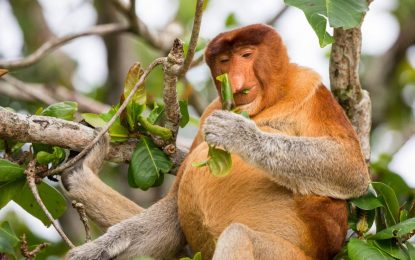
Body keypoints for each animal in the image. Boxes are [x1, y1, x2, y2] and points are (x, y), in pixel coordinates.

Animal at [64, 23, 370, 258]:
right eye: (224, 61)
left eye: (246, 55)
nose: (234, 80)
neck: (267, 103)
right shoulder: (209, 111)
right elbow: (172, 216)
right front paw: (94, 250)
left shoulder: (309, 88)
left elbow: (350, 167)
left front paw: (236, 133)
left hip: (286, 255)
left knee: (238, 235)